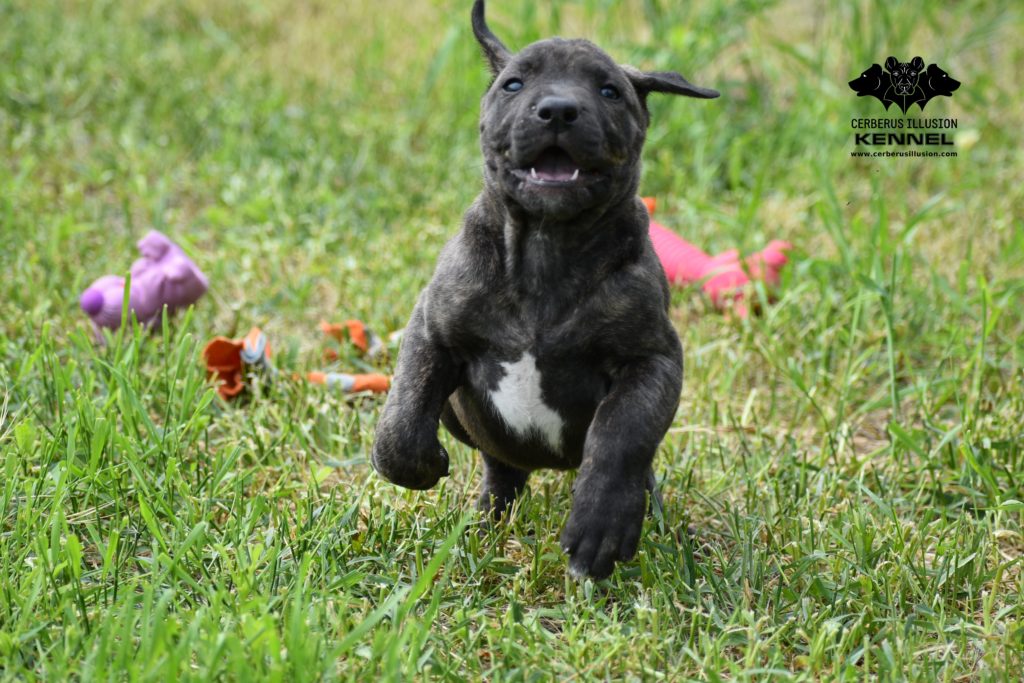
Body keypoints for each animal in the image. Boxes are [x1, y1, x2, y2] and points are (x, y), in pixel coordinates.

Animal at [372, 0, 716, 581]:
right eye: (513, 84)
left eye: (609, 91)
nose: (557, 110)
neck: (545, 249)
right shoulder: (431, 330)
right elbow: (402, 416)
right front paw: (420, 464)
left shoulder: (650, 361)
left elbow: (619, 437)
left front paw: (601, 527)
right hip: (467, 424)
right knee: (500, 467)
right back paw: (486, 520)